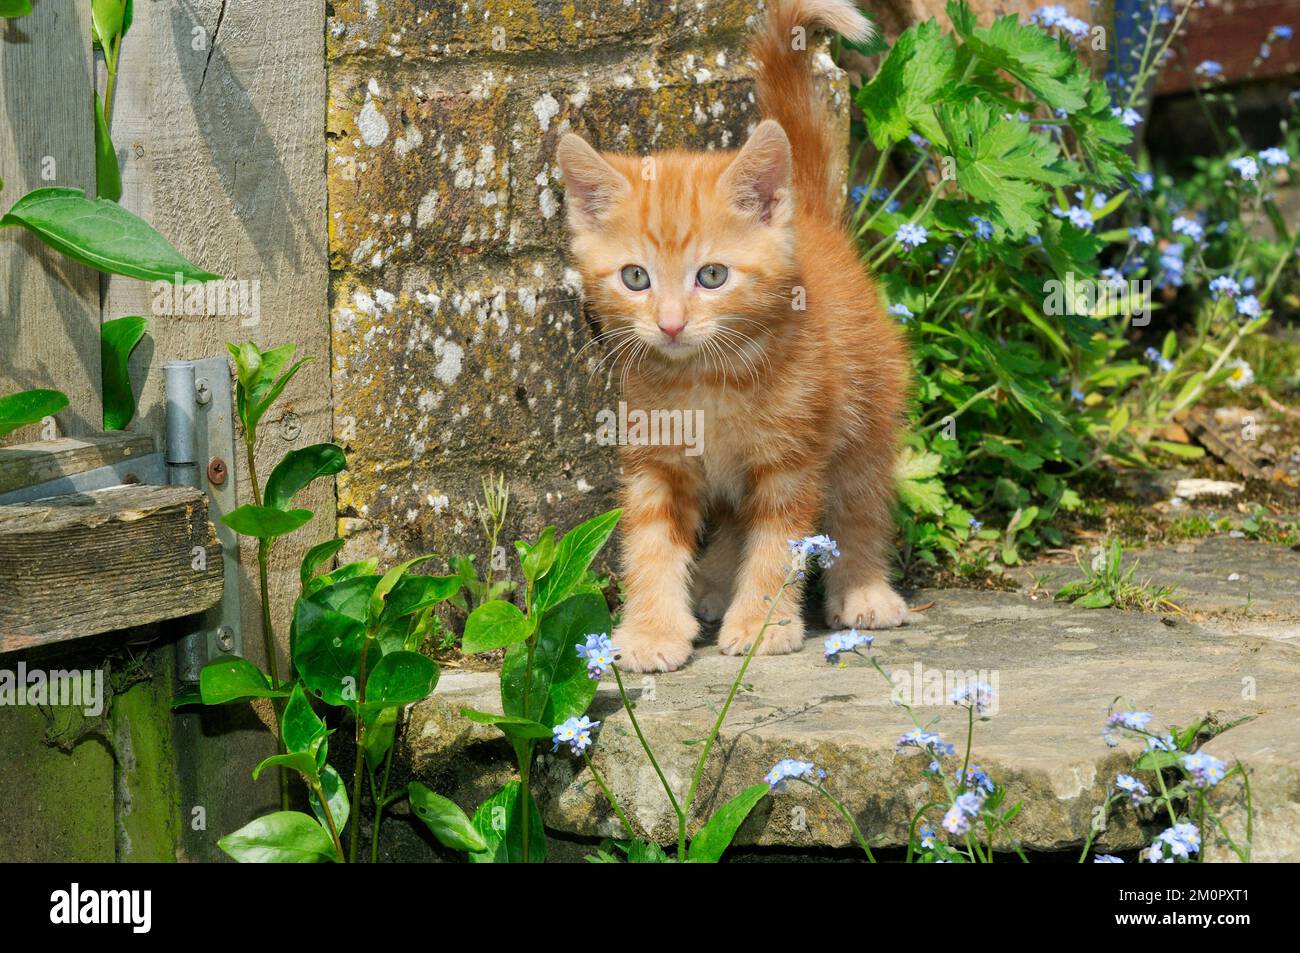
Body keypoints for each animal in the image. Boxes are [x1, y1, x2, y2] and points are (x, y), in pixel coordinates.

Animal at [553, 1, 909, 670]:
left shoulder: (791, 459)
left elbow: (778, 544)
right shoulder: (656, 460)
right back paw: (714, 588)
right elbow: (650, 544)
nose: (670, 323)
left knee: (860, 505)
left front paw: (764, 624)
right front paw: (651, 631)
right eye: (635, 277)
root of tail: (815, 225)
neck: (706, 380)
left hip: (866, 415)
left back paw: (865, 591)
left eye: (712, 276)